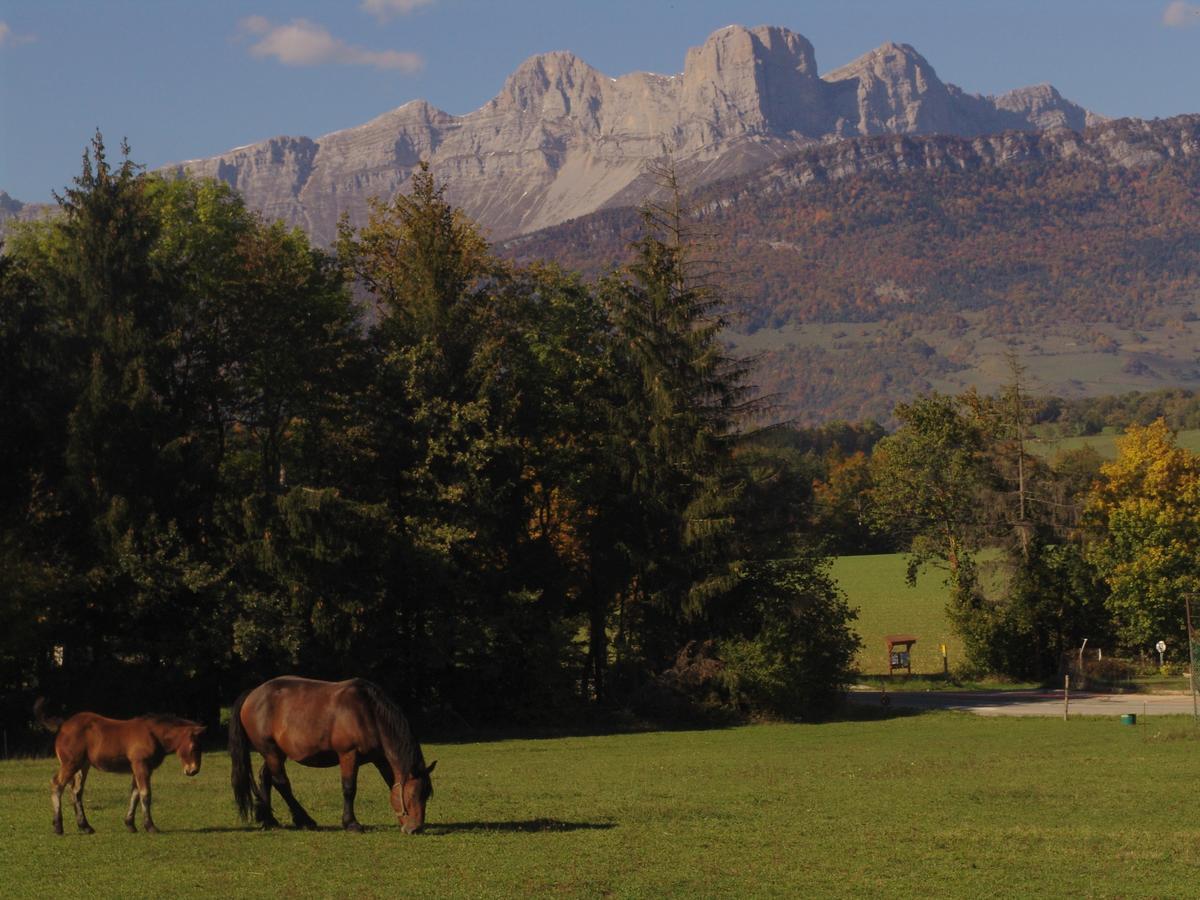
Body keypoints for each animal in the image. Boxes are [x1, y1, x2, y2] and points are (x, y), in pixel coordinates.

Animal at [32, 696, 206, 840]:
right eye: (194, 747)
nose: (193, 771)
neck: (153, 734)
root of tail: (63, 725)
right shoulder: (141, 764)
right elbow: (145, 794)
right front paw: (150, 826)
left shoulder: (141, 768)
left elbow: (135, 794)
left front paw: (130, 824)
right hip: (70, 763)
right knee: (57, 785)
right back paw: (58, 827)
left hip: (83, 766)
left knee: (76, 792)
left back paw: (85, 826)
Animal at [229, 681, 436, 835]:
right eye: (412, 795)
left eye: (426, 795)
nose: (415, 829)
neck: (367, 713)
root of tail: (252, 694)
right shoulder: (348, 755)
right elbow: (349, 788)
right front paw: (351, 823)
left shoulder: (380, 759)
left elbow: (390, 784)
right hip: (271, 751)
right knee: (282, 784)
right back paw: (304, 820)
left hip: (275, 753)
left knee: (266, 778)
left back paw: (269, 820)